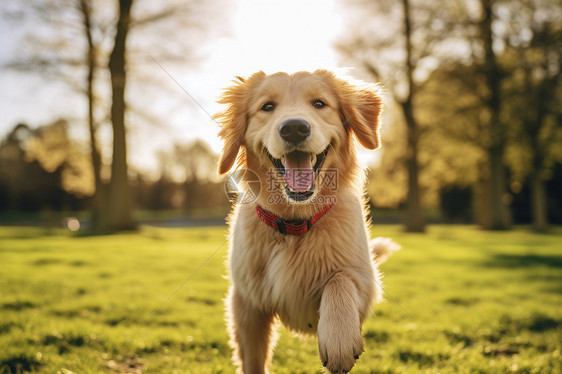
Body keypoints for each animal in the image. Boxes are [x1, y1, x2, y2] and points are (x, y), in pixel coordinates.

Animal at [214, 71, 398, 374]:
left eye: (319, 103)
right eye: (267, 107)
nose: (294, 128)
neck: (293, 224)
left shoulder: (365, 279)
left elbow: (340, 280)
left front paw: (339, 339)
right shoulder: (247, 305)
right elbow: (253, 361)